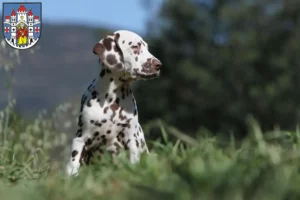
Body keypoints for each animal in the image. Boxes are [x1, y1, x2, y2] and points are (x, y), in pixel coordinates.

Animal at [66, 29, 162, 175]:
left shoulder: (131, 138)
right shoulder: (80, 139)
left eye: (147, 48)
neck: (111, 100)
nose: (159, 65)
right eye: (135, 47)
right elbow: (73, 165)